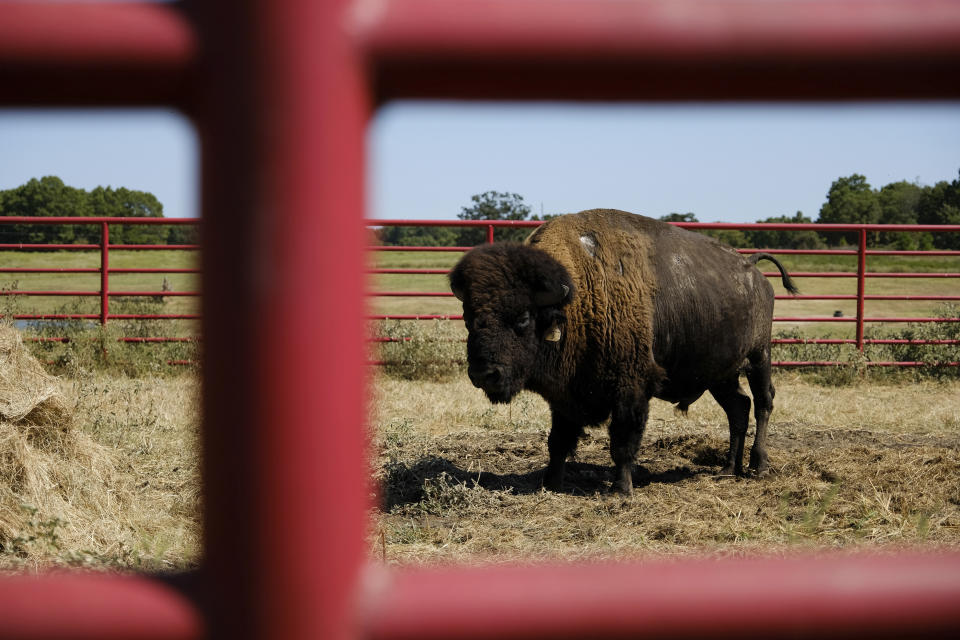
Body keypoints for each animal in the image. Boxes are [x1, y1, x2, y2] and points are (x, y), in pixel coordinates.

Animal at [454, 210, 800, 496]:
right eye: (468, 318)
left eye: (523, 319)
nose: (484, 373)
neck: (576, 298)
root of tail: (753, 271)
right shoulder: (564, 396)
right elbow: (558, 441)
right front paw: (550, 484)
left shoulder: (631, 389)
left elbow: (622, 442)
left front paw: (621, 490)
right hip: (719, 374)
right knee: (738, 408)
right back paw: (728, 470)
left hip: (759, 356)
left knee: (763, 402)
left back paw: (758, 467)